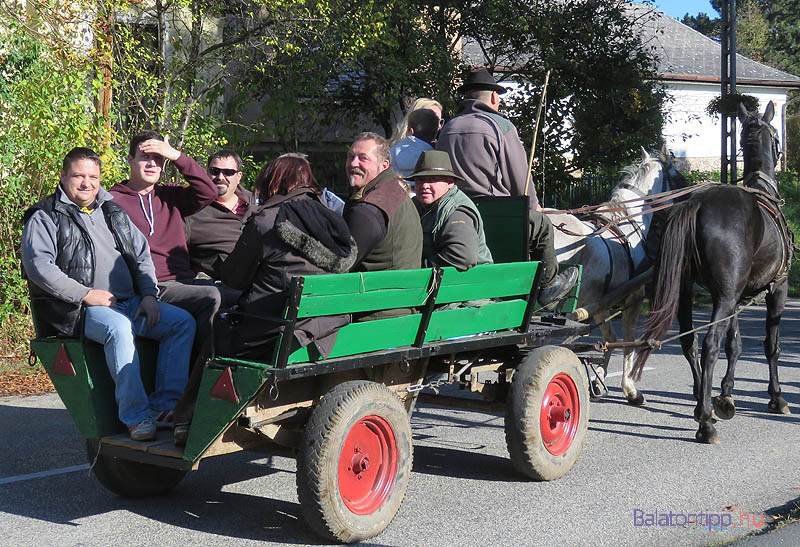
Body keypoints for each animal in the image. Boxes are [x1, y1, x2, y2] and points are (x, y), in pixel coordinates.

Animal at [552, 150, 688, 406]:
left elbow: (609, 337)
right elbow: (627, 343)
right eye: (678, 178)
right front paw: (630, 389)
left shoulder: (596, 302)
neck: (626, 225)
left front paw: (598, 379)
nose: (688, 198)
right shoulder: (632, 299)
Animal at [632, 101, 792, 446]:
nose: (781, 147)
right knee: (709, 345)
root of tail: (696, 204)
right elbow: (770, 346)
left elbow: (736, 344)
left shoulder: (735, 295)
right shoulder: (776, 289)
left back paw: (700, 404)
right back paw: (705, 422)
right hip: (725, 296)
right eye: (775, 134)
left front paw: (726, 394)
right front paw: (777, 397)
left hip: (687, 292)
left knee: (690, 342)